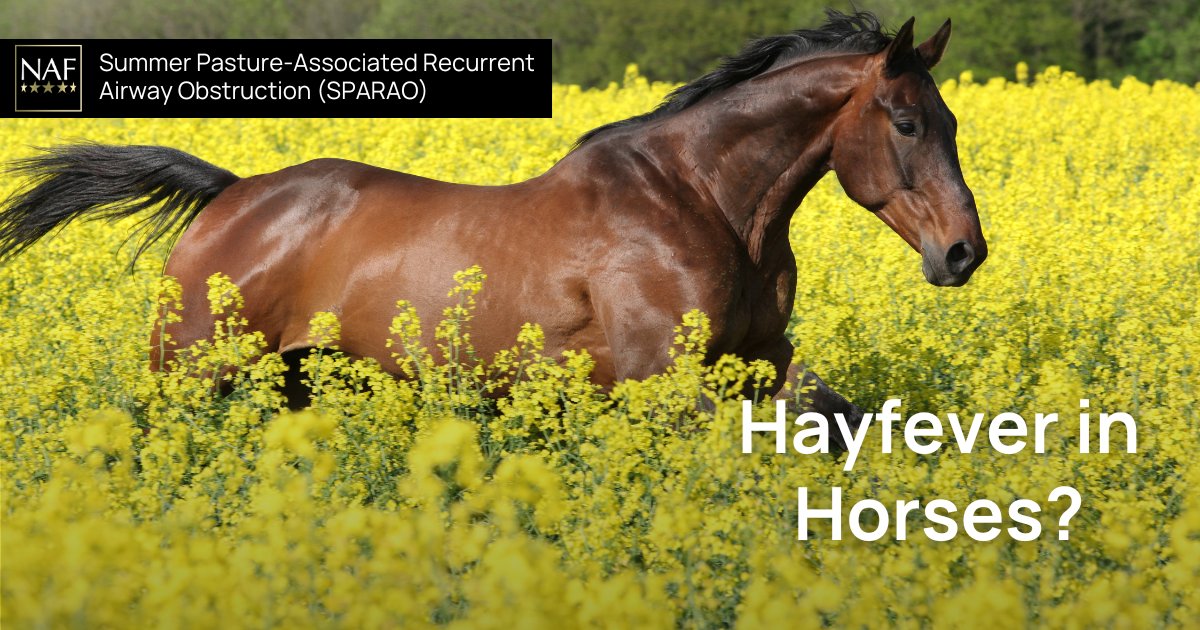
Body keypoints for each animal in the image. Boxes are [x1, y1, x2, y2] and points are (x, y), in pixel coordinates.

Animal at [0, 12, 986, 426]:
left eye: (951, 119)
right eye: (905, 122)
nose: (963, 253)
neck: (699, 201)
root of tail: (233, 195)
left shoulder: (760, 365)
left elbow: (843, 419)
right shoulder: (665, 380)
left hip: (297, 378)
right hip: (195, 371)